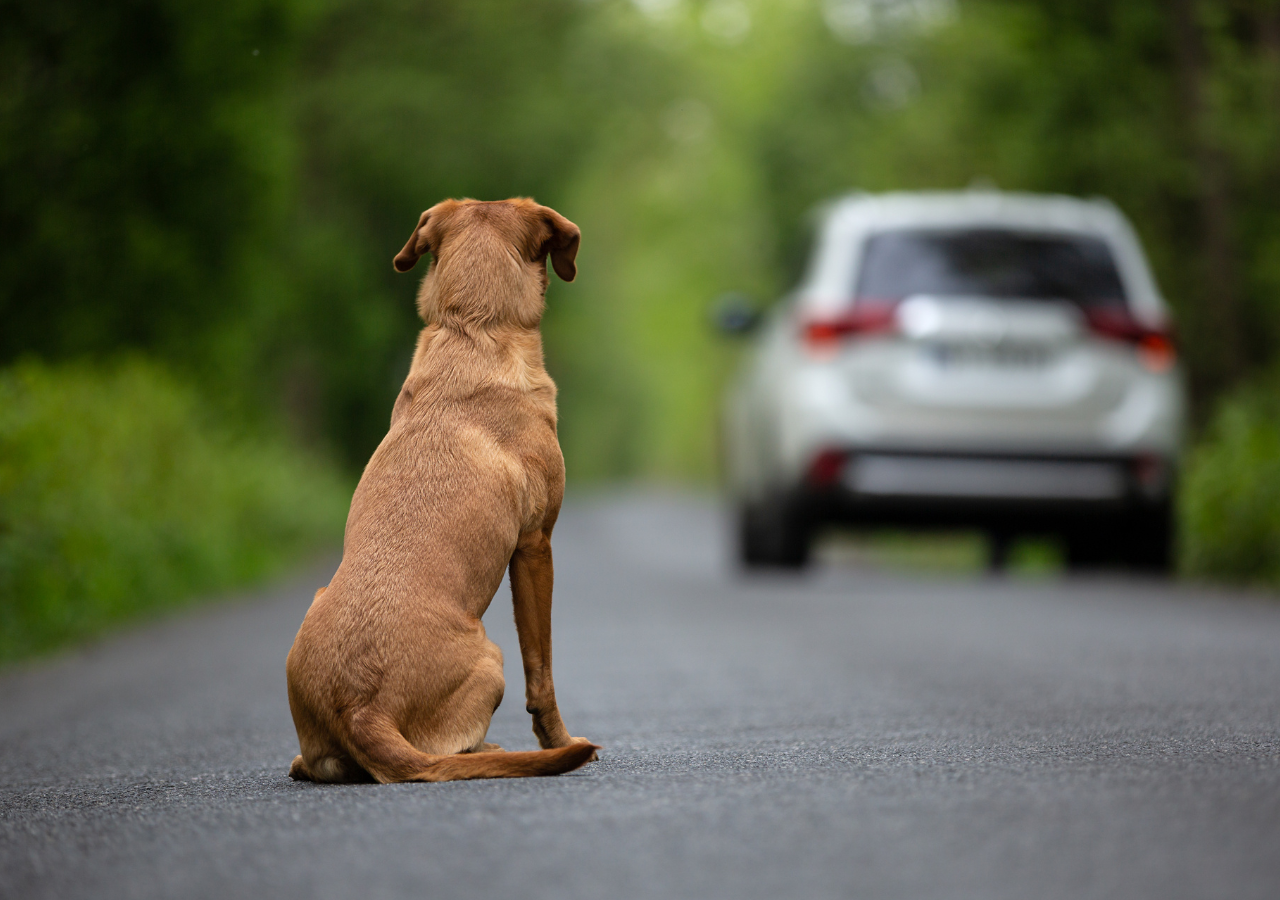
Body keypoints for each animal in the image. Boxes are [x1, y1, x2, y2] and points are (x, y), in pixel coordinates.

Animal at [288, 195, 596, 783]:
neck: (472, 328)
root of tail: (360, 708)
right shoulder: (535, 545)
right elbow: (542, 670)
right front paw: (560, 740)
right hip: (492, 659)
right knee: (452, 751)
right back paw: (496, 750)